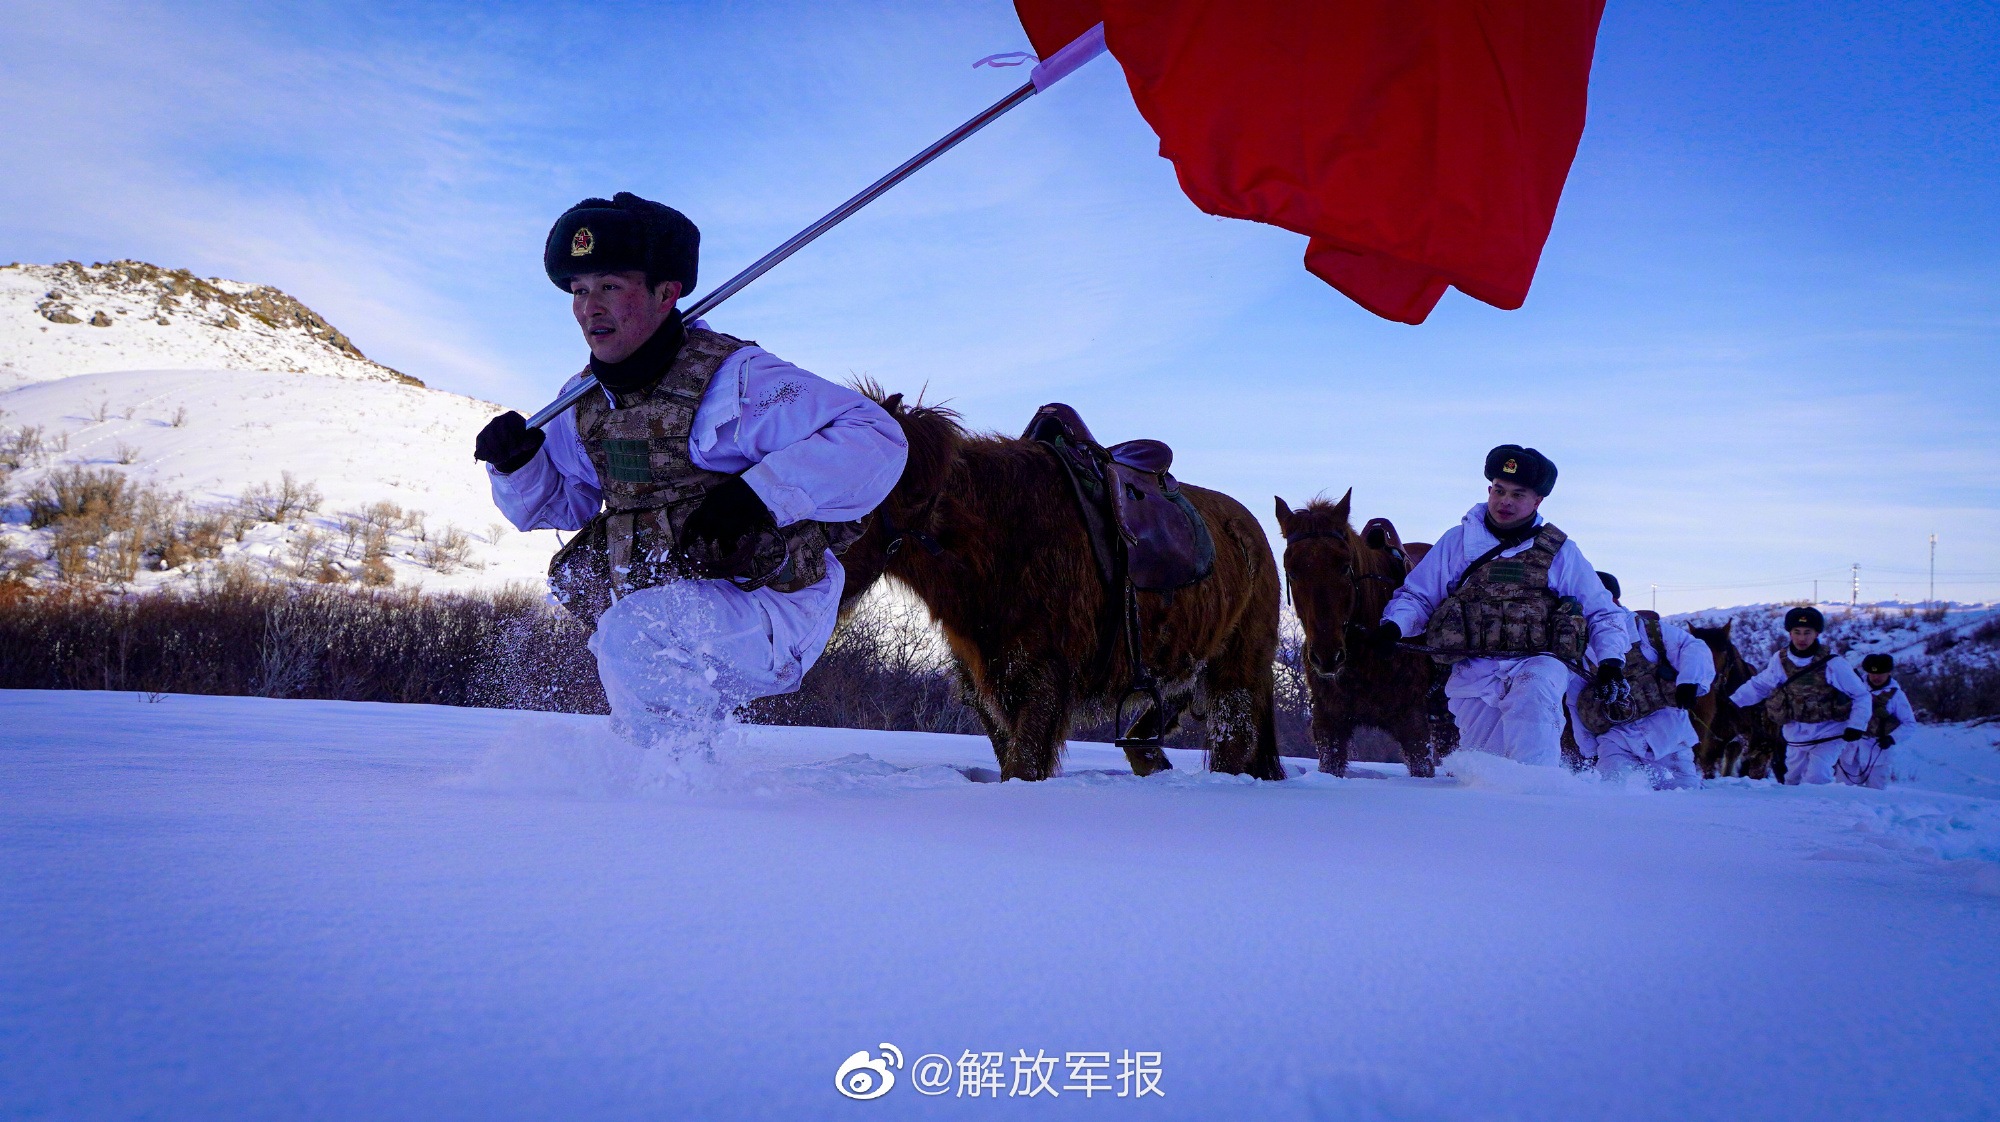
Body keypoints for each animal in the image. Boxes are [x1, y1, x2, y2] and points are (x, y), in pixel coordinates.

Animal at [840, 392, 1280, 780]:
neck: (999, 535)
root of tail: (1252, 533)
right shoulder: (985, 684)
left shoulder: (1044, 679)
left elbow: (1023, 766)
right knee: (1151, 738)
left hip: (1238, 670)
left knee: (1233, 741)